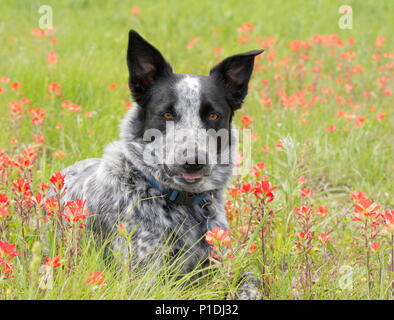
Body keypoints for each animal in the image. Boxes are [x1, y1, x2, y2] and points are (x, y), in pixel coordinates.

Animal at [53, 30, 262, 298]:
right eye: (167, 114)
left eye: (213, 115)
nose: (193, 161)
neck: (182, 203)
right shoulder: (144, 277)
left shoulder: (220, 264)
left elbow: (251, 279)